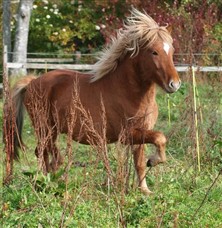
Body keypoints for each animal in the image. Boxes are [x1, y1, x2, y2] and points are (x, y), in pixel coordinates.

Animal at [11, 8, 180, 194]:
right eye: (154, 52)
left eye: (172, 51)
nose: (175, 84)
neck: (129, 92)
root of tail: (31, 82)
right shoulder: (126, 135)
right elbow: (160, 137)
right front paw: (153, 161)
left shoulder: (142, 132)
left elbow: (140, 162)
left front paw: (144, 189)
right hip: (44, 129)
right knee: (44, 153)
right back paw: (44, 183)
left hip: (50, 131)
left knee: (45, 154)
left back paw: (51, 180)